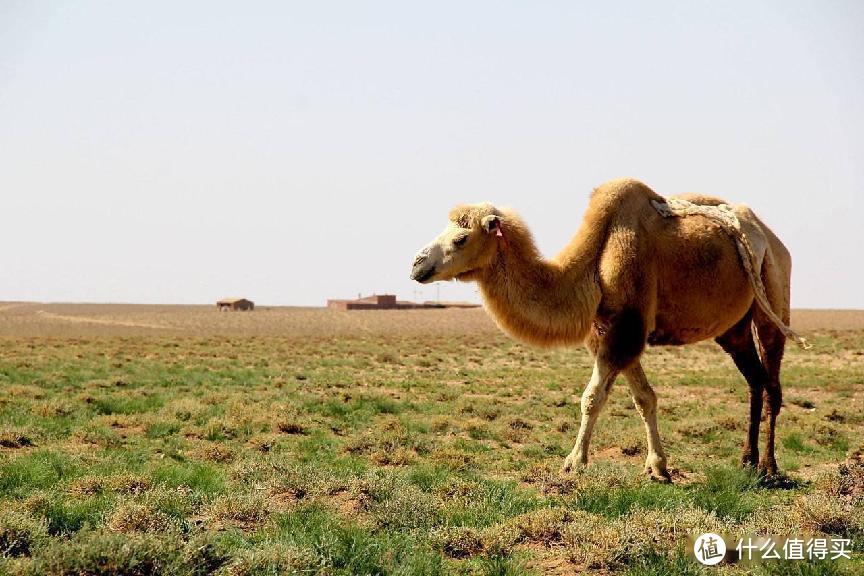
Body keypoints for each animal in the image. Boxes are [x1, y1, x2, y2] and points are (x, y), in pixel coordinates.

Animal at [408, 178, 808, 480]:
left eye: (460, 238)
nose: (417, 264)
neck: (592, 264)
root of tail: (772, 239)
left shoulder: (624, 330)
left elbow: (592, 397)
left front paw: (574, 462)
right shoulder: (609, 332)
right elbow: (645, 397)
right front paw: (658, 467)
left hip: (773, 290)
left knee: (772, 383)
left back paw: (770, 467)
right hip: (733, 328)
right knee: (755, 380)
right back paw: (747, 461)